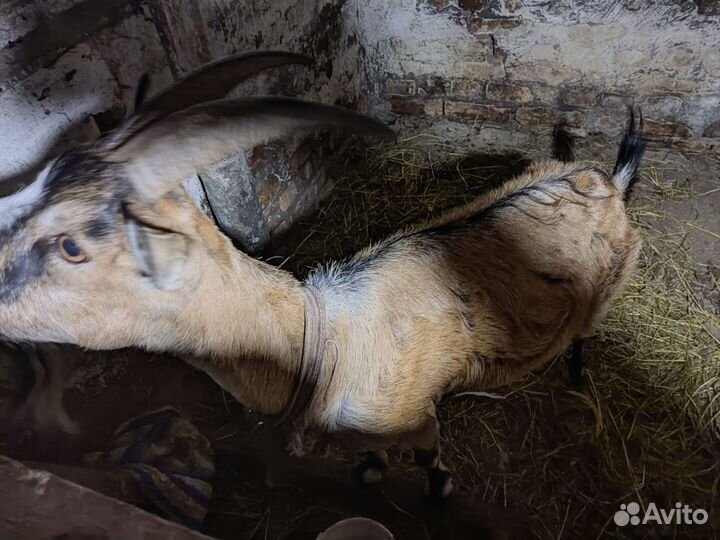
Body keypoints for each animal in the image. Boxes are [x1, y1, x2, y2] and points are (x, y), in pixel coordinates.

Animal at [0, 50, 646, 501]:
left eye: (72, 245)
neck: (325, 341)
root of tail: (609, 181)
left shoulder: (418, 415)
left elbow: (428, 457)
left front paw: (438, 490)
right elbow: (374, 456)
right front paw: (369, 472)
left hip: (615, 278)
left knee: (586, 331)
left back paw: (576, 370)